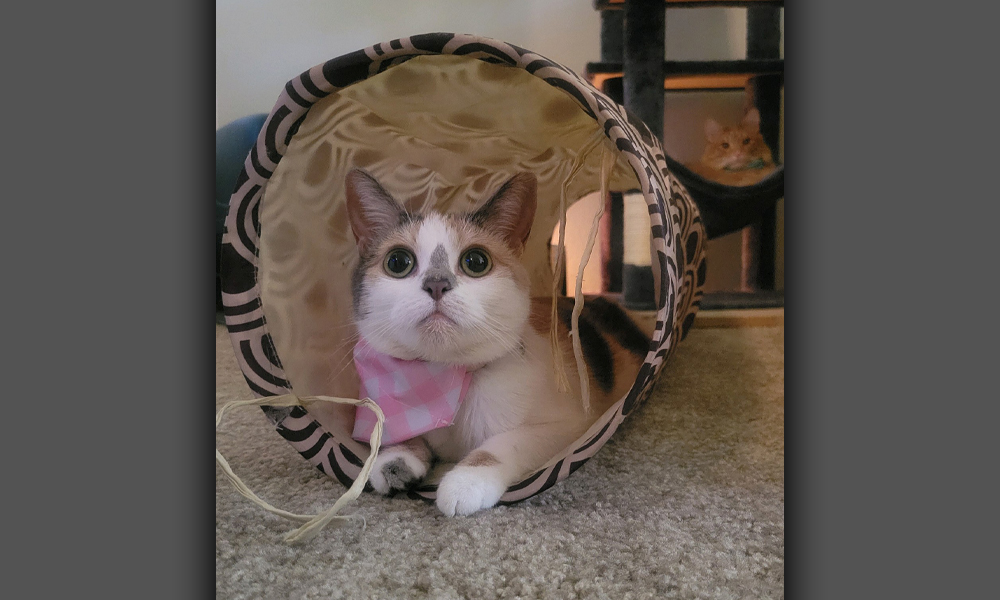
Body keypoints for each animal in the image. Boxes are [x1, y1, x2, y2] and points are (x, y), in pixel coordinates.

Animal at [346, 168, 648, 516]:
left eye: (476, 262)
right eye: (397, 262)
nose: (437, 284)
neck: (449, 378)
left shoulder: (573, 425)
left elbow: (506, 443)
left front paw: (466, 481)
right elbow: (398, 430)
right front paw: (396, 458)